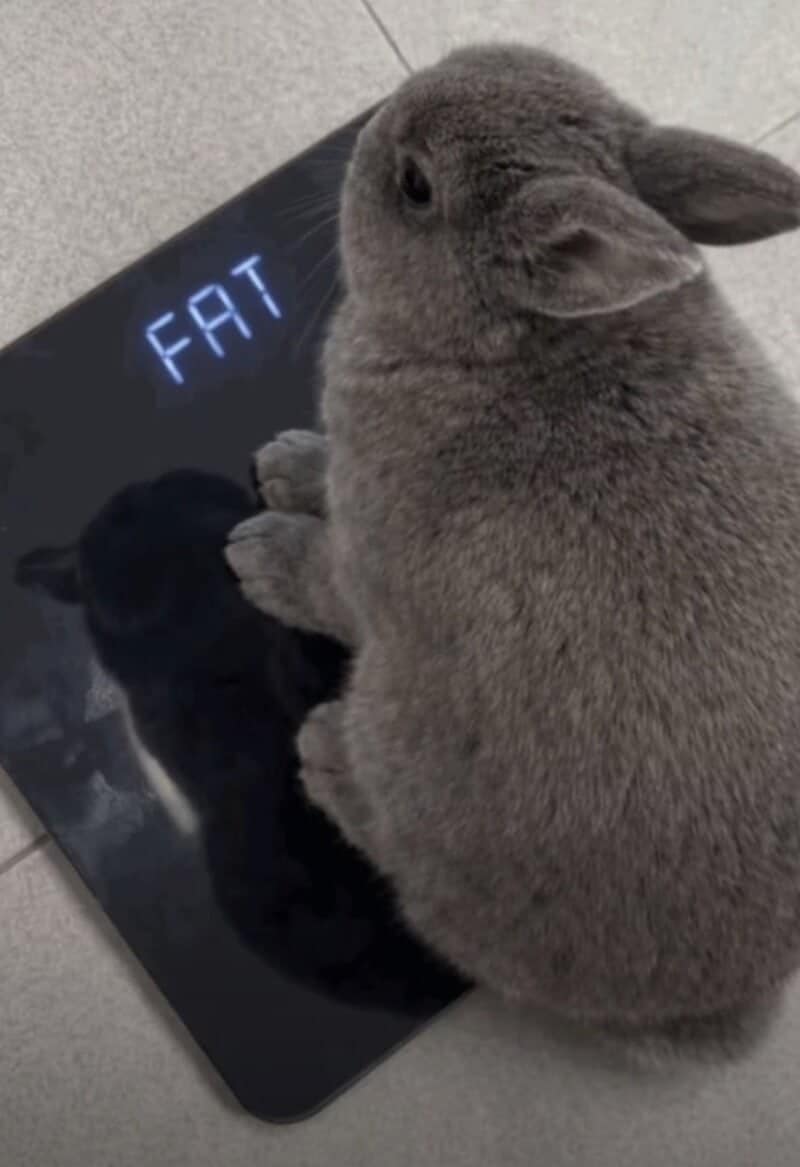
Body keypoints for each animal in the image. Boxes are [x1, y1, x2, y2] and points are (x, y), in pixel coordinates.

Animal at [226, 43, 800, 1051]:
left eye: (417, 186)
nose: (367, 130)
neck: (510, 346)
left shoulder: (365, 570)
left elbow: (314, 577)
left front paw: (255, 548)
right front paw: (289, 461)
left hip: (407, 756)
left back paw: (326, 754)